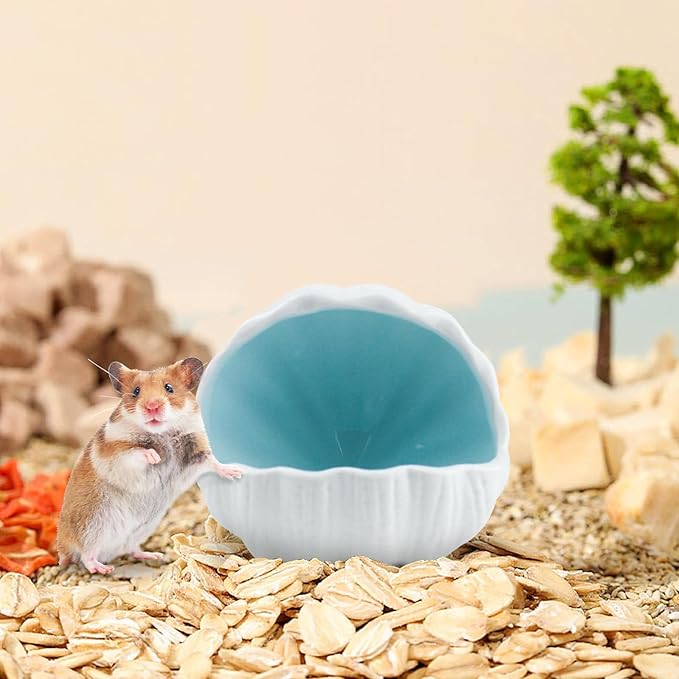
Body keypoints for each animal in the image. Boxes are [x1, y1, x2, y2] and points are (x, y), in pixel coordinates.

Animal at [57, 356, 241, 574]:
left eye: (169, 388)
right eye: (136, 391)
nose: (152, 407)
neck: (162, 432)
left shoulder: (196, 450)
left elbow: (212, 461)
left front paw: (236, 472)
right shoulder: (116, 452)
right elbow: (137, 452)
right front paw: (155, 457)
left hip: (141, 529)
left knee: (131, 548)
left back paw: (154, 556)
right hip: (93, 526)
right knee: (86, 555)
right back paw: (103, 569)